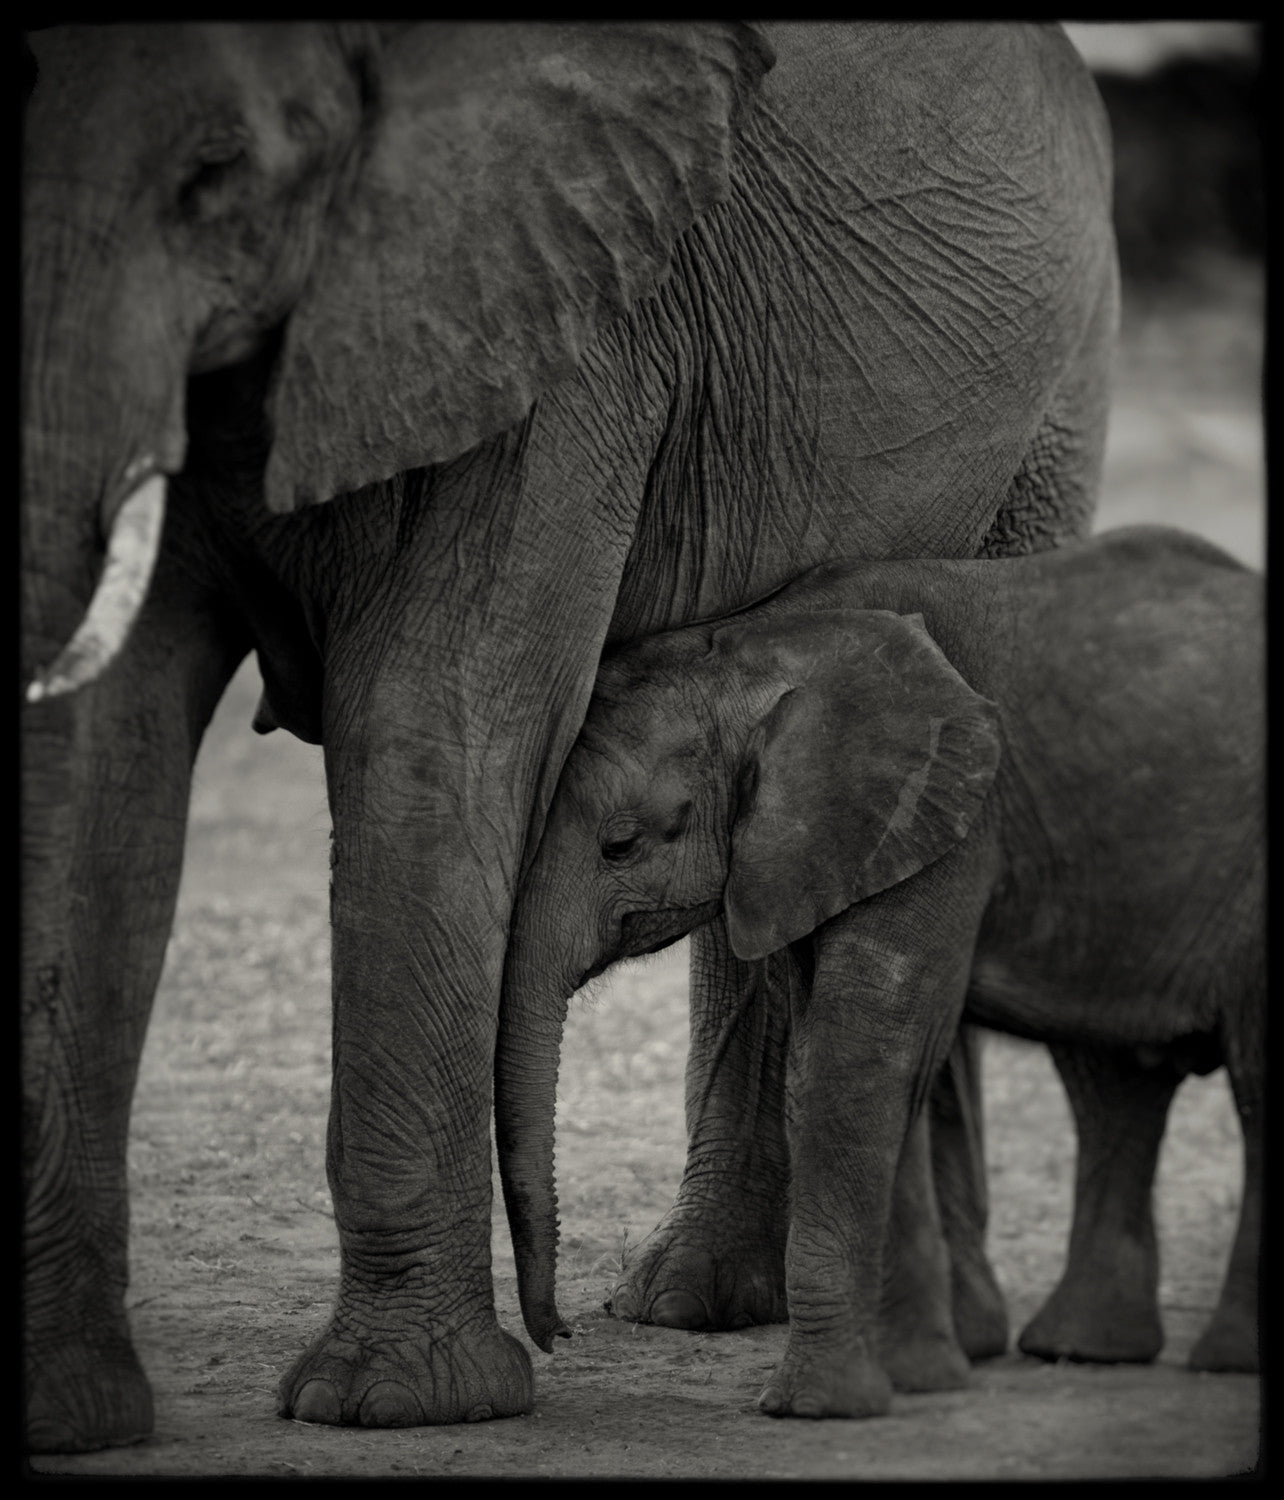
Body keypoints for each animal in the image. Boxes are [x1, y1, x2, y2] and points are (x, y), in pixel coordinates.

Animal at [21, 22, 1118, 1451]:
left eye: (215, 180)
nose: (556, 1331)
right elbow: (100, 758)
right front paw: (73, 1416)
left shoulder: (554, 317)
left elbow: (438, 720)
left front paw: (397, 1405)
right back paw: (700, 1303)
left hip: (1053, 403)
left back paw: (930, 1340)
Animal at [496, 525, 1262, 1418]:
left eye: (620, 845)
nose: (565, 1334)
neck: (754, 646)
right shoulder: (822, 847)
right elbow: (856, 1065)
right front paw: (917, 1381)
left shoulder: (945, 813)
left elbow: (857, 1056)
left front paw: (816, 1407)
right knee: (1119, 1080)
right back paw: (1085, 1351)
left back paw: (1223, 1362)